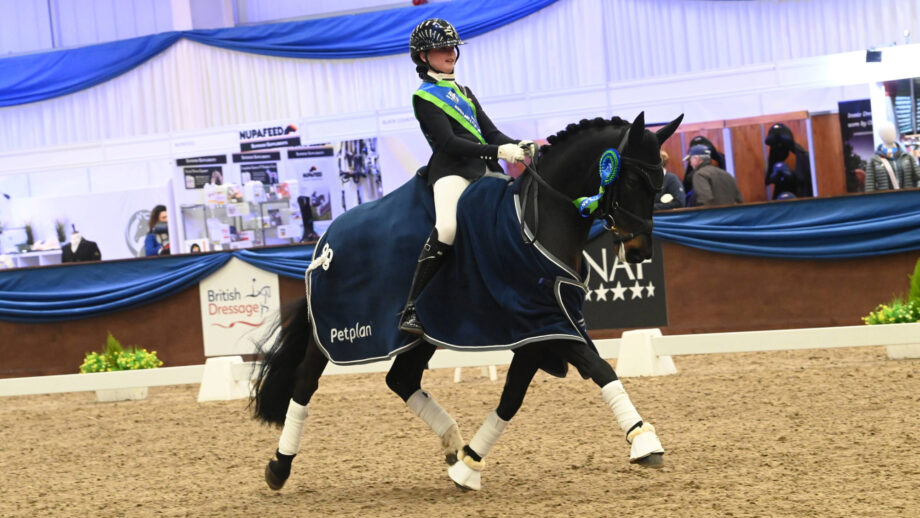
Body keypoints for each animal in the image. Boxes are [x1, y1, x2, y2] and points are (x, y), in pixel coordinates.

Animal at [251, 111, 683, 491]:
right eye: (632, 181)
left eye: (658, 181)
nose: (639, 250)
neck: (538, 220)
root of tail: (324, 243)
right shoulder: (547, 322)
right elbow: (599, 369)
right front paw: (644, 441)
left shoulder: (542, 327)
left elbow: (512, 398)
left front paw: (468, 465)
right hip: (335, 333)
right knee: (305, 384)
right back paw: (279, 467)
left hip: (421, 338)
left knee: (401, 380)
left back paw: (453, 443)